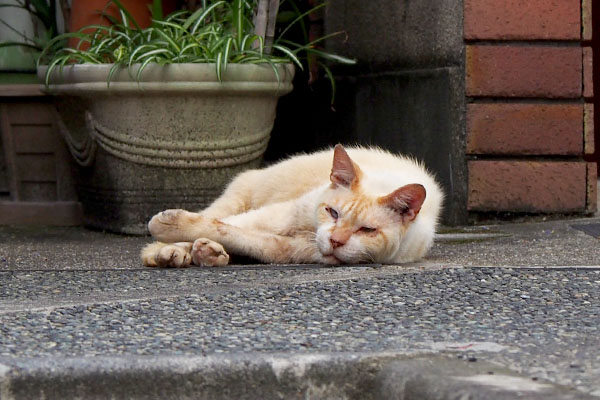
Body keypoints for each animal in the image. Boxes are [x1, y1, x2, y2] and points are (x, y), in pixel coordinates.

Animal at [139, 145, 440, 268]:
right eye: (332, 212)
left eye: (367, 230)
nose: (335, 240)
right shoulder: (279, 215)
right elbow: (221, 225)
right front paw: (166, 246)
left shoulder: (290, 250)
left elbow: (240, 237)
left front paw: (202, 247)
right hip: (240, 195)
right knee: (217, 215)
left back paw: (210, 253)